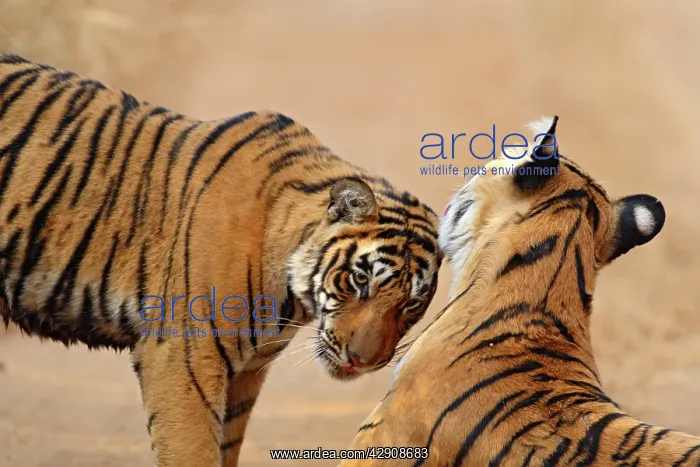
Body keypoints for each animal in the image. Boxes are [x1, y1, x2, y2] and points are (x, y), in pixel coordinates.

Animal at [0, 53, 443, 467]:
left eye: (411, 305)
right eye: (359, 280)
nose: (363, 362)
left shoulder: (245, 373)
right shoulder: (181, 359)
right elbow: (193, 451)